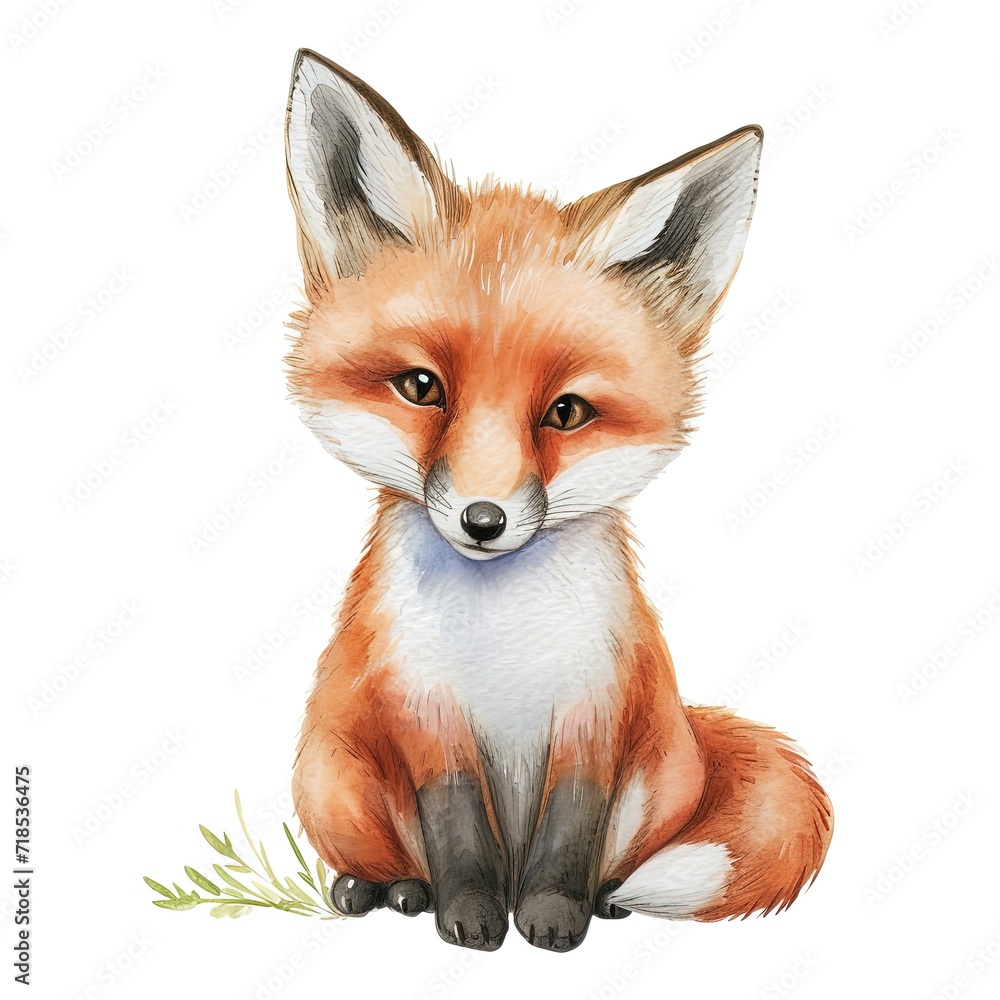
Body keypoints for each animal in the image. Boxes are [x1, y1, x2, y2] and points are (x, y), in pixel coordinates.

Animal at [283, 48, 832, 953]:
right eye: (421, 388)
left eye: (566, 413)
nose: (484, 521)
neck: (501, 638)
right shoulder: (426, 709)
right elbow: (458, 826)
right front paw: (470, 915)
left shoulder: (593, 710)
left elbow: (571, 829)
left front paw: (551, 915)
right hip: (334, 780)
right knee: (378, 861)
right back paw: (385, 889)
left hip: (656, 771)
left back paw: (607, 897)